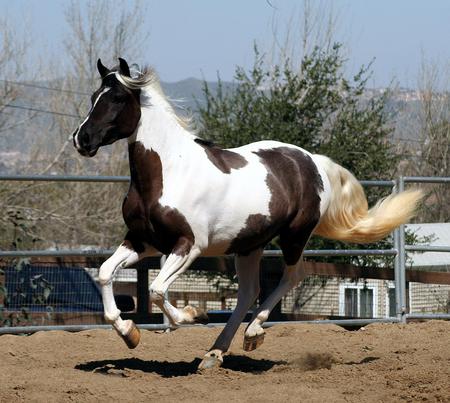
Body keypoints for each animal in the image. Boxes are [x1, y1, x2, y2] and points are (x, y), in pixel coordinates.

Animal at [73, 58, 422, 370]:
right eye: (94, 97)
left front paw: (190, 315)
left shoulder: (189, 245)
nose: (82, 139)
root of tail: (312, 161)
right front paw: (129, 333)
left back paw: (253, 333)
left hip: (293, 236)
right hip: (248, 245)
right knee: (248, 293)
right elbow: (105, 272)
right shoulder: (142, 241)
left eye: (118, 98)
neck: (167, 173)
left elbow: (157, 290)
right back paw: (215, 354)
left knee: (292, 276)